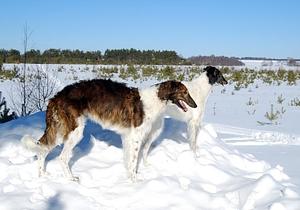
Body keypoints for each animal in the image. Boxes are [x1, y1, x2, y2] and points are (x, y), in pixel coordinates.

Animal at [22, 78, 197, 181]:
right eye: (184, 92)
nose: (195, 105)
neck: (155, 99)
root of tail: (55, 97)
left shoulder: (127, 137)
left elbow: (129, 162)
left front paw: (131, 178)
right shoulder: (136, 137)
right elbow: (133, 162)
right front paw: (135, 182)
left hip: (60, 130)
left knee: (42, 150)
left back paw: (42, 175)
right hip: (74, 132)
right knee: (62, 157)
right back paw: (71, 179)